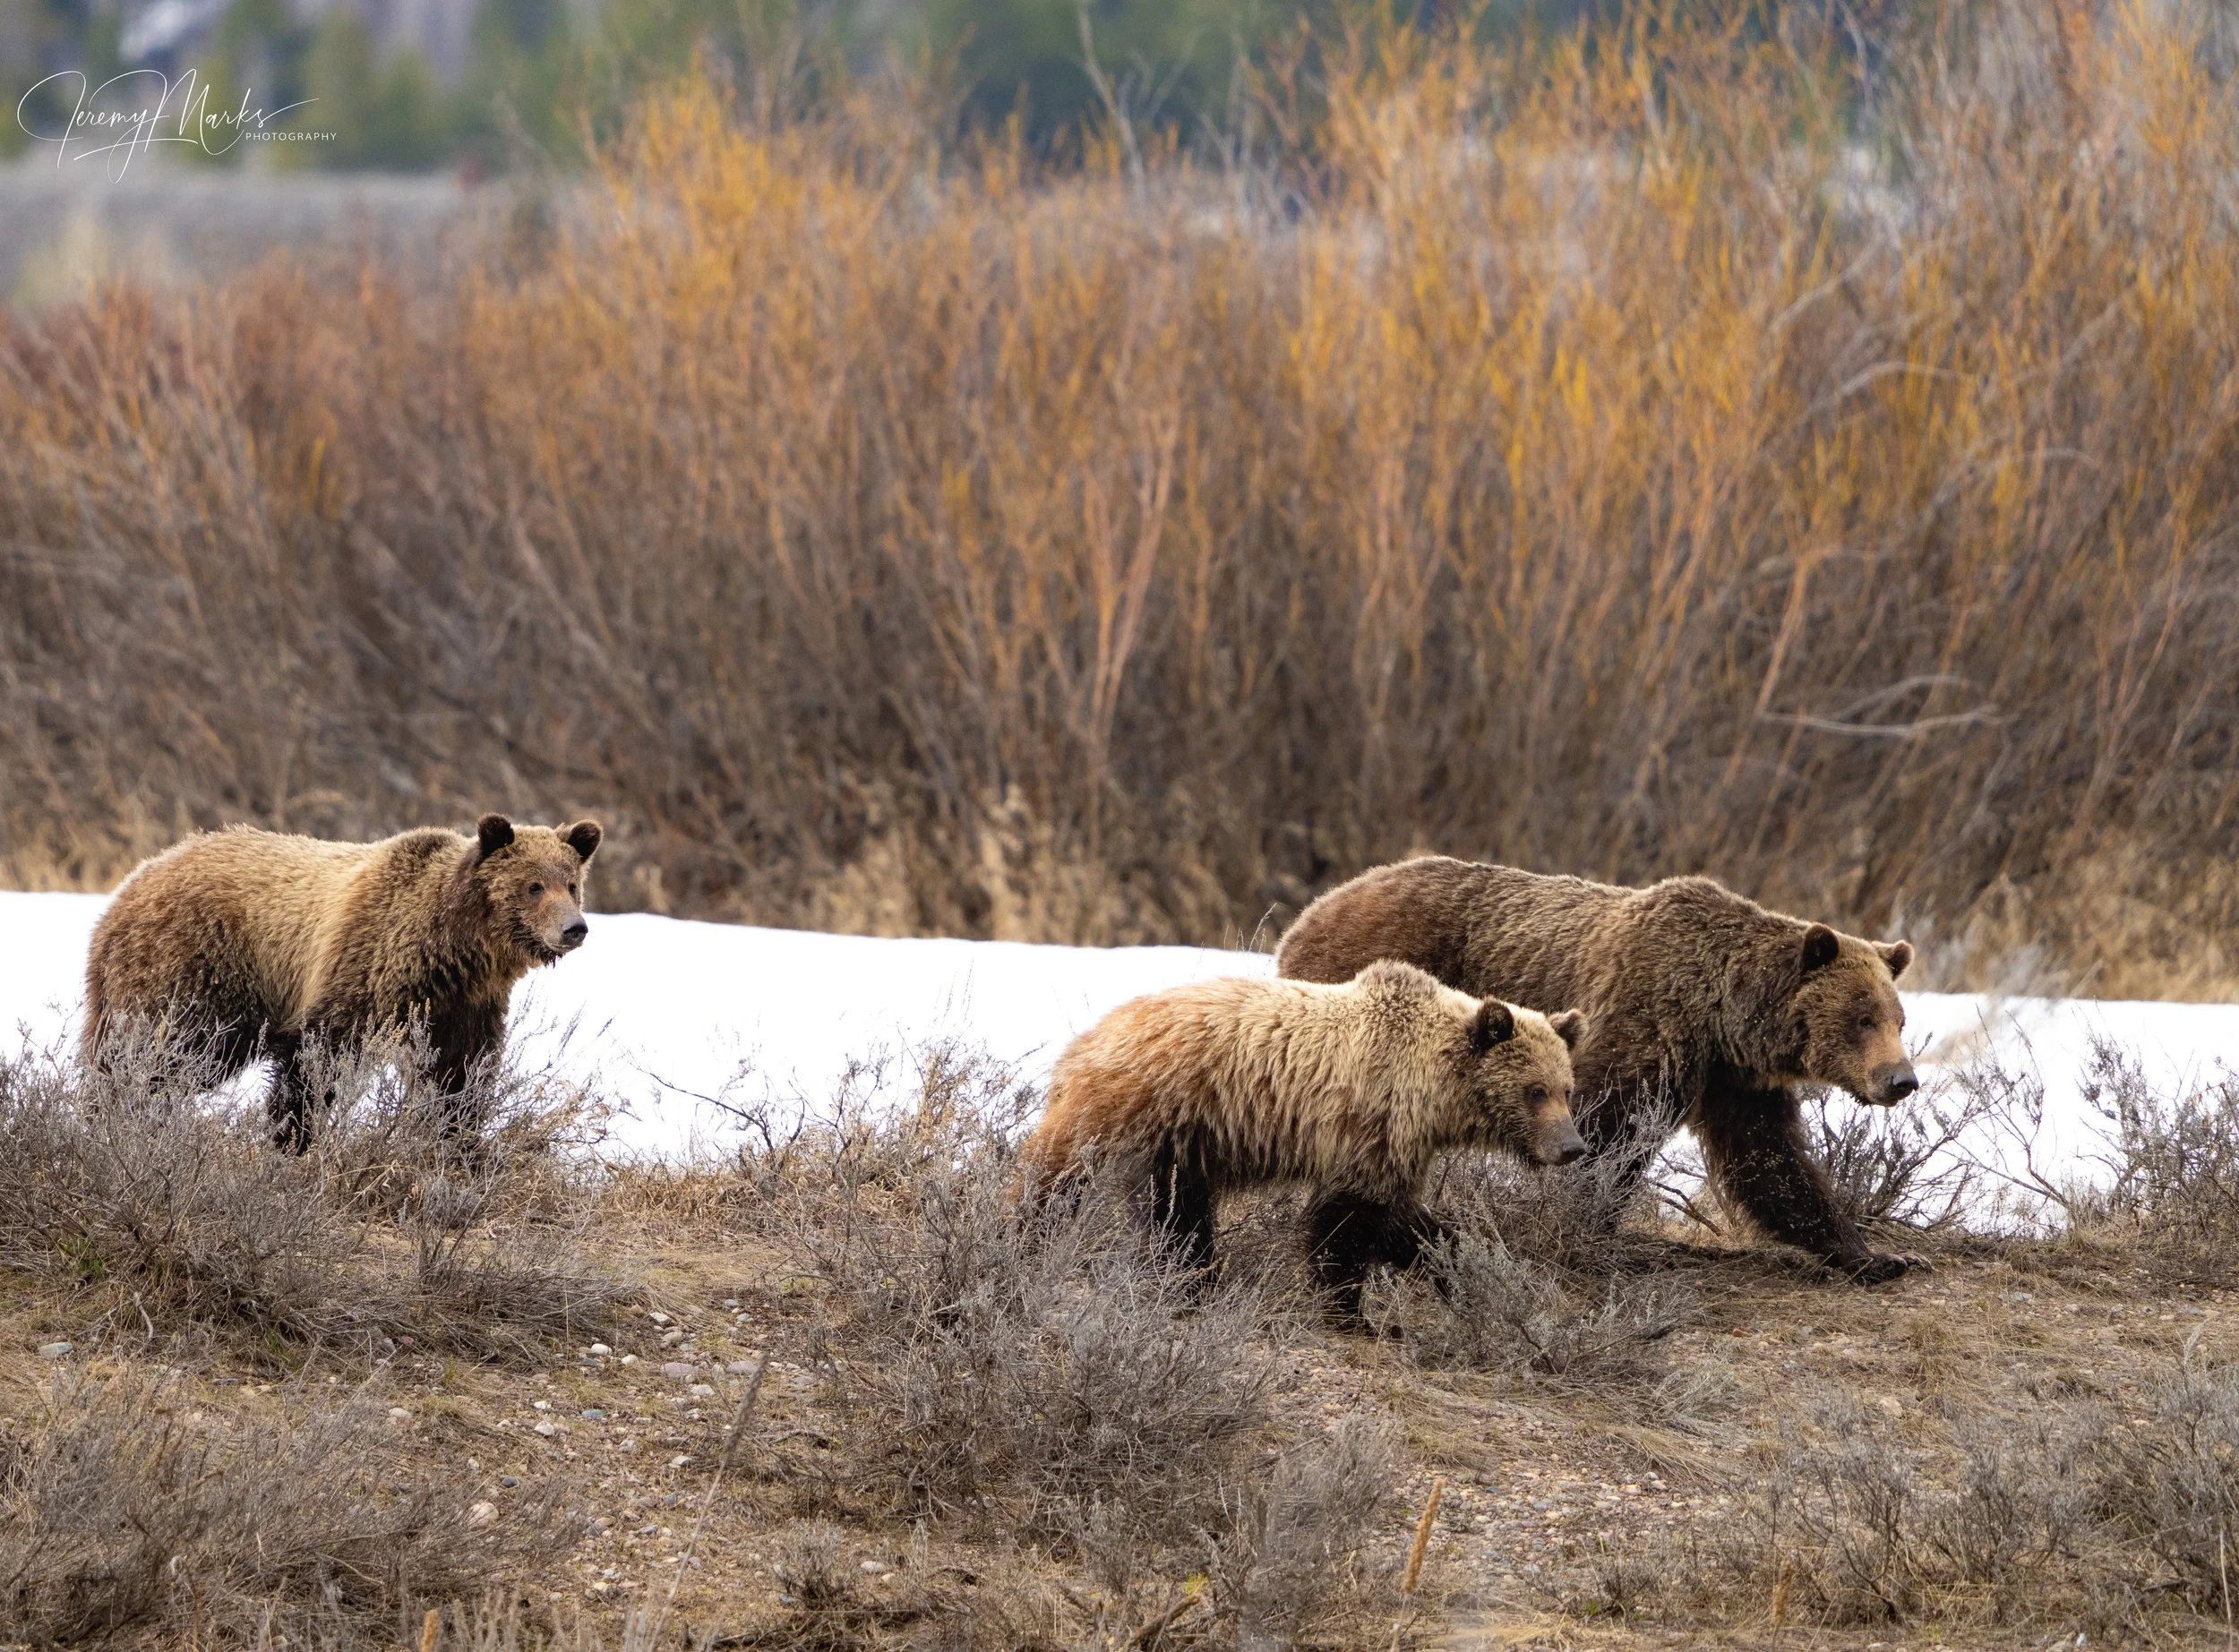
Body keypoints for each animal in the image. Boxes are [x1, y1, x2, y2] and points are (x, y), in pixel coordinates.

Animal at [83, 813, 602, 1149]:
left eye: (571, 884)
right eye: (533, 885)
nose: (574, 928)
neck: (452, 948)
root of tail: (128, 887)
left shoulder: (464, 1004)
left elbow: (458, 1072)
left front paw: (457, 1142)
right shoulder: (364, 964)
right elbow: (318, 1059)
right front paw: (291, 1136)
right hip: (196, 967)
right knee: (161, 1051)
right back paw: (116, 1115)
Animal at [1020, 959, 1589, 1319]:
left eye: (1566, 1089)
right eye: (1535, 1091)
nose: (1572, 1148)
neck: (1433, 1089)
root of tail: (1085, 1039)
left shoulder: (1400, 1144)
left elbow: (1407, 1222)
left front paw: (1468, 1268)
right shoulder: (1370, 1123)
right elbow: (1347, 1223)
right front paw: (1355, 1313)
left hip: (1184, 1138)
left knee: (1180, 1209)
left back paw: (1195, 1283)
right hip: (1142, 1106)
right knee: (1062, 1178)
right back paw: (1023, 1239)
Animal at [1275, 858, 1920, 1282]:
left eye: (1898, 1017)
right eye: (1862, 1017)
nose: (1902, 1080)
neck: (1722, 1016)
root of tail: (1308, 914)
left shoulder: (1735, 1081)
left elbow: (1771, 1163)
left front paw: (1879, 1255)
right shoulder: (1646, 1026)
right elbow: (1608, 1135)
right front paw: (1587, 1229)